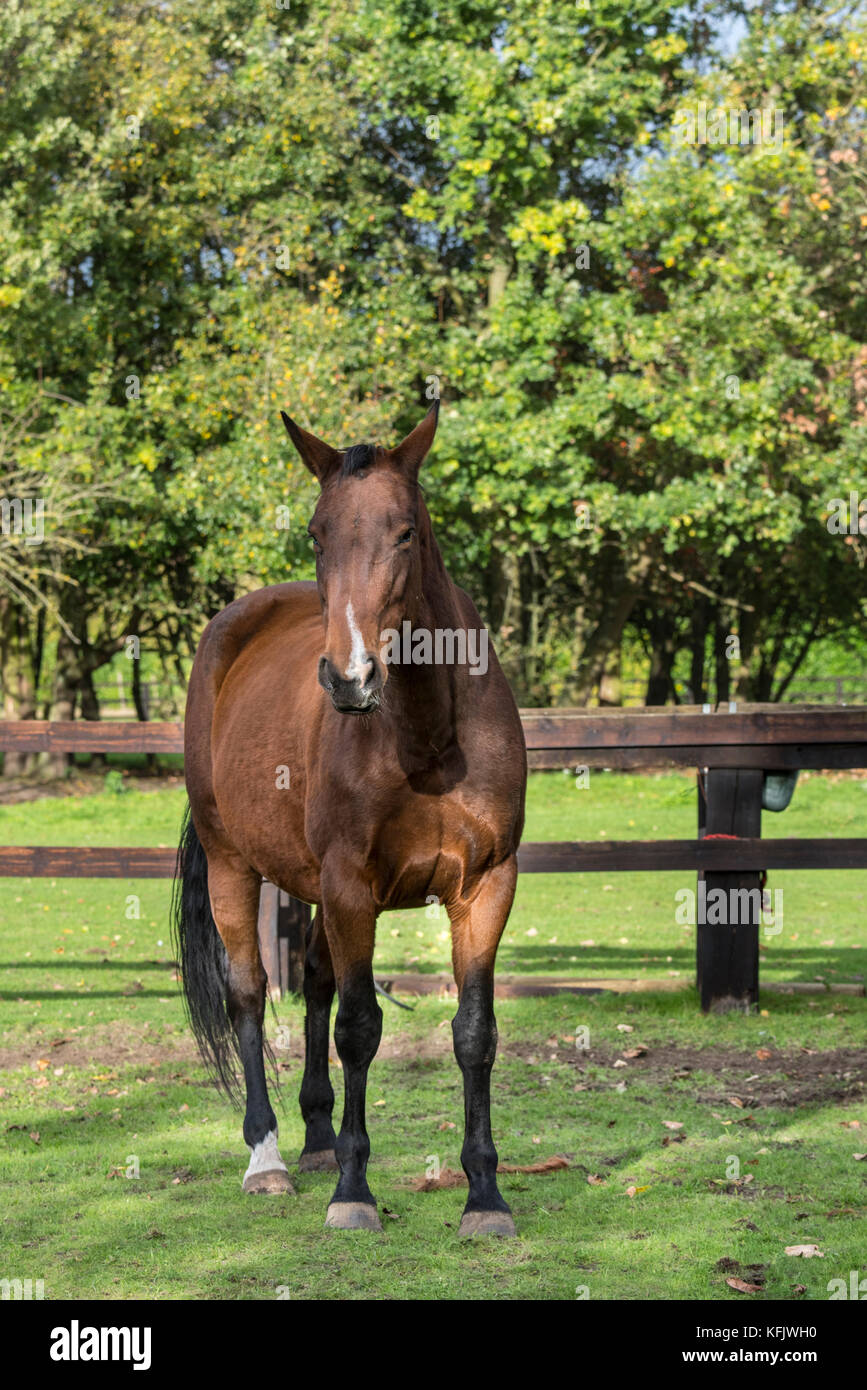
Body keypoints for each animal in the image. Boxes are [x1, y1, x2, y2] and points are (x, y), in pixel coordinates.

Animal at [173, 402, 527, 1236]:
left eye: (405, 532)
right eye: (316, 533)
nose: (349, 677)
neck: (428, 735)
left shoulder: (485, 888)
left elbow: (473, 1033)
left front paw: (483, 1194)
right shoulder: (350, 888)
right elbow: (360, 1028)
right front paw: (354, 1192)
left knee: (313, 982)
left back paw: (316, 1140)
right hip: (237, 865)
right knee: (249, 992)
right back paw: (269, 1159)